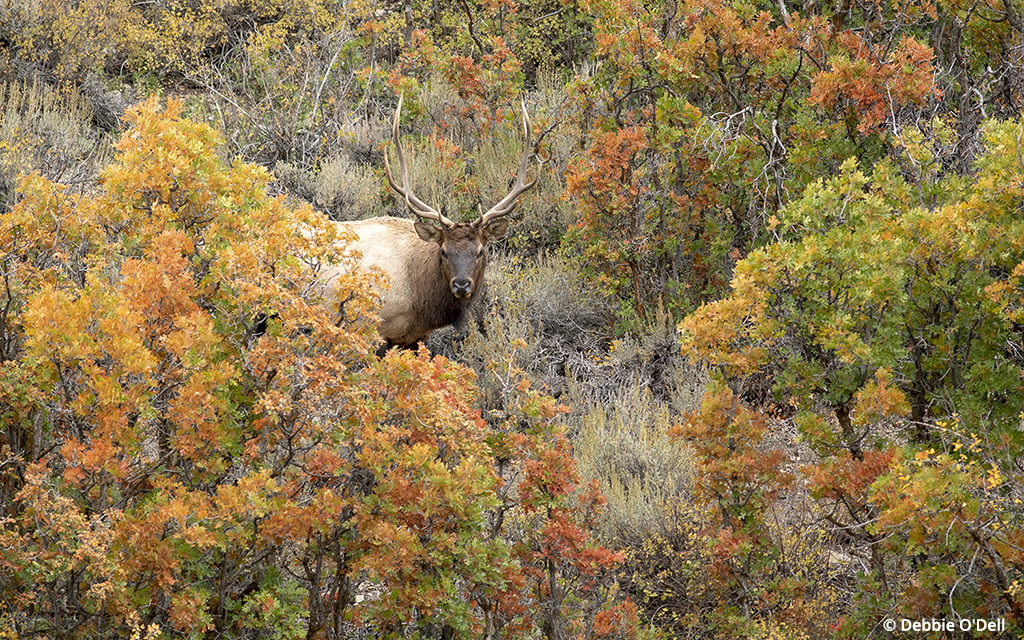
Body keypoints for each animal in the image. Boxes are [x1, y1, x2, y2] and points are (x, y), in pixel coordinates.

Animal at [327, 96, 544, 354]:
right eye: (444, 251)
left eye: (481, 251)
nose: (461, 285)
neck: (421, 304)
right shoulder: (368, 328)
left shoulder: (415, 337)